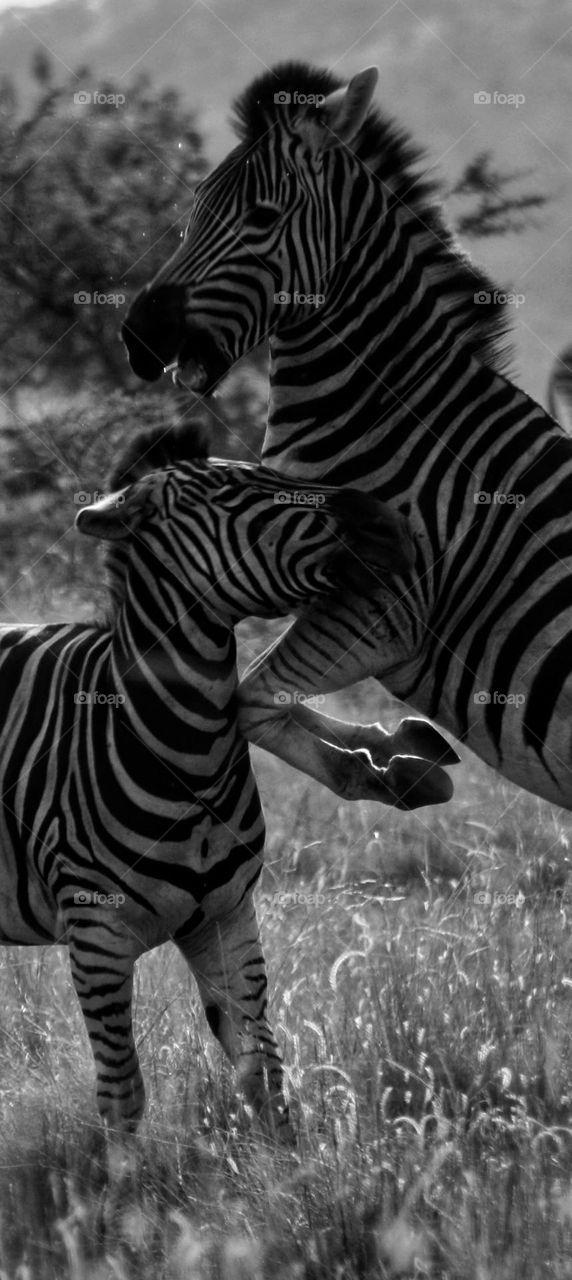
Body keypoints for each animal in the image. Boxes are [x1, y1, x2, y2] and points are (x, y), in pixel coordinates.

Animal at [0, 423, 423, 1139]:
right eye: (230, 491)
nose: (391, 523)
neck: (185, 757)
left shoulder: (228, 919)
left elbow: (265, 1076)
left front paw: (291, 1169)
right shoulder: (95, 935)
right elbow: (122, 1095)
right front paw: (123, 1177)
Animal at [122, 60, 572, 814]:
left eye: (262, 217)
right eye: (194, 210)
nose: (138, 336)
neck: (394, 413)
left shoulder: (384, 608)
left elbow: (250, 701)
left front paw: (390, 770)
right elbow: (253, 692)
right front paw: (403, 746)